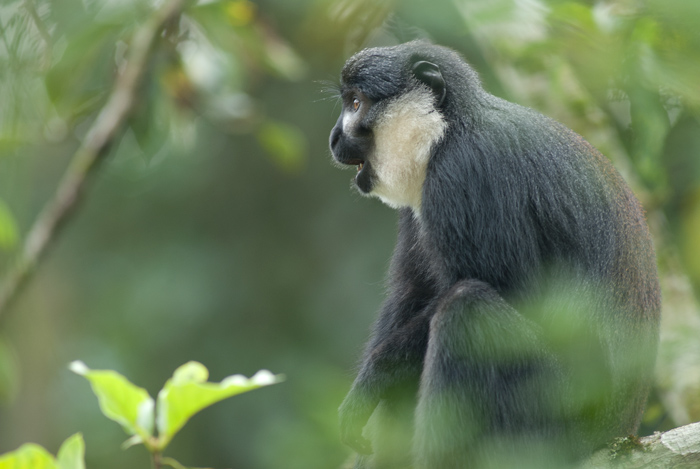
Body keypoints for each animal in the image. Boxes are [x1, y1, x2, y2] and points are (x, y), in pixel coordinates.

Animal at [328, 41, 660, 469]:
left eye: (355, 104)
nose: (334, 137)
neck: (447, 128)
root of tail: (617, 429)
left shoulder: (466, 172)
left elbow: (513, 293)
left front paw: (375, 377)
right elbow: (411, 293)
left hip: (557, 412)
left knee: (466, 308)